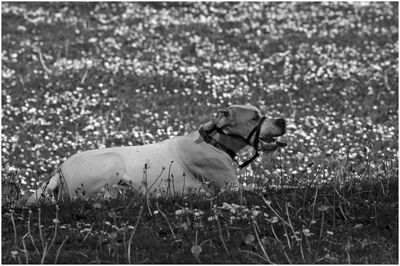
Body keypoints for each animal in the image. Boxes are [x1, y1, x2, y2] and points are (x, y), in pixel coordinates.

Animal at [25, 104, 284, 204]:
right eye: (254, 117)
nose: (282, 120)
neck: (214, 141)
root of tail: (58, 169)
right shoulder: (232, 188)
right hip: (111, 161)